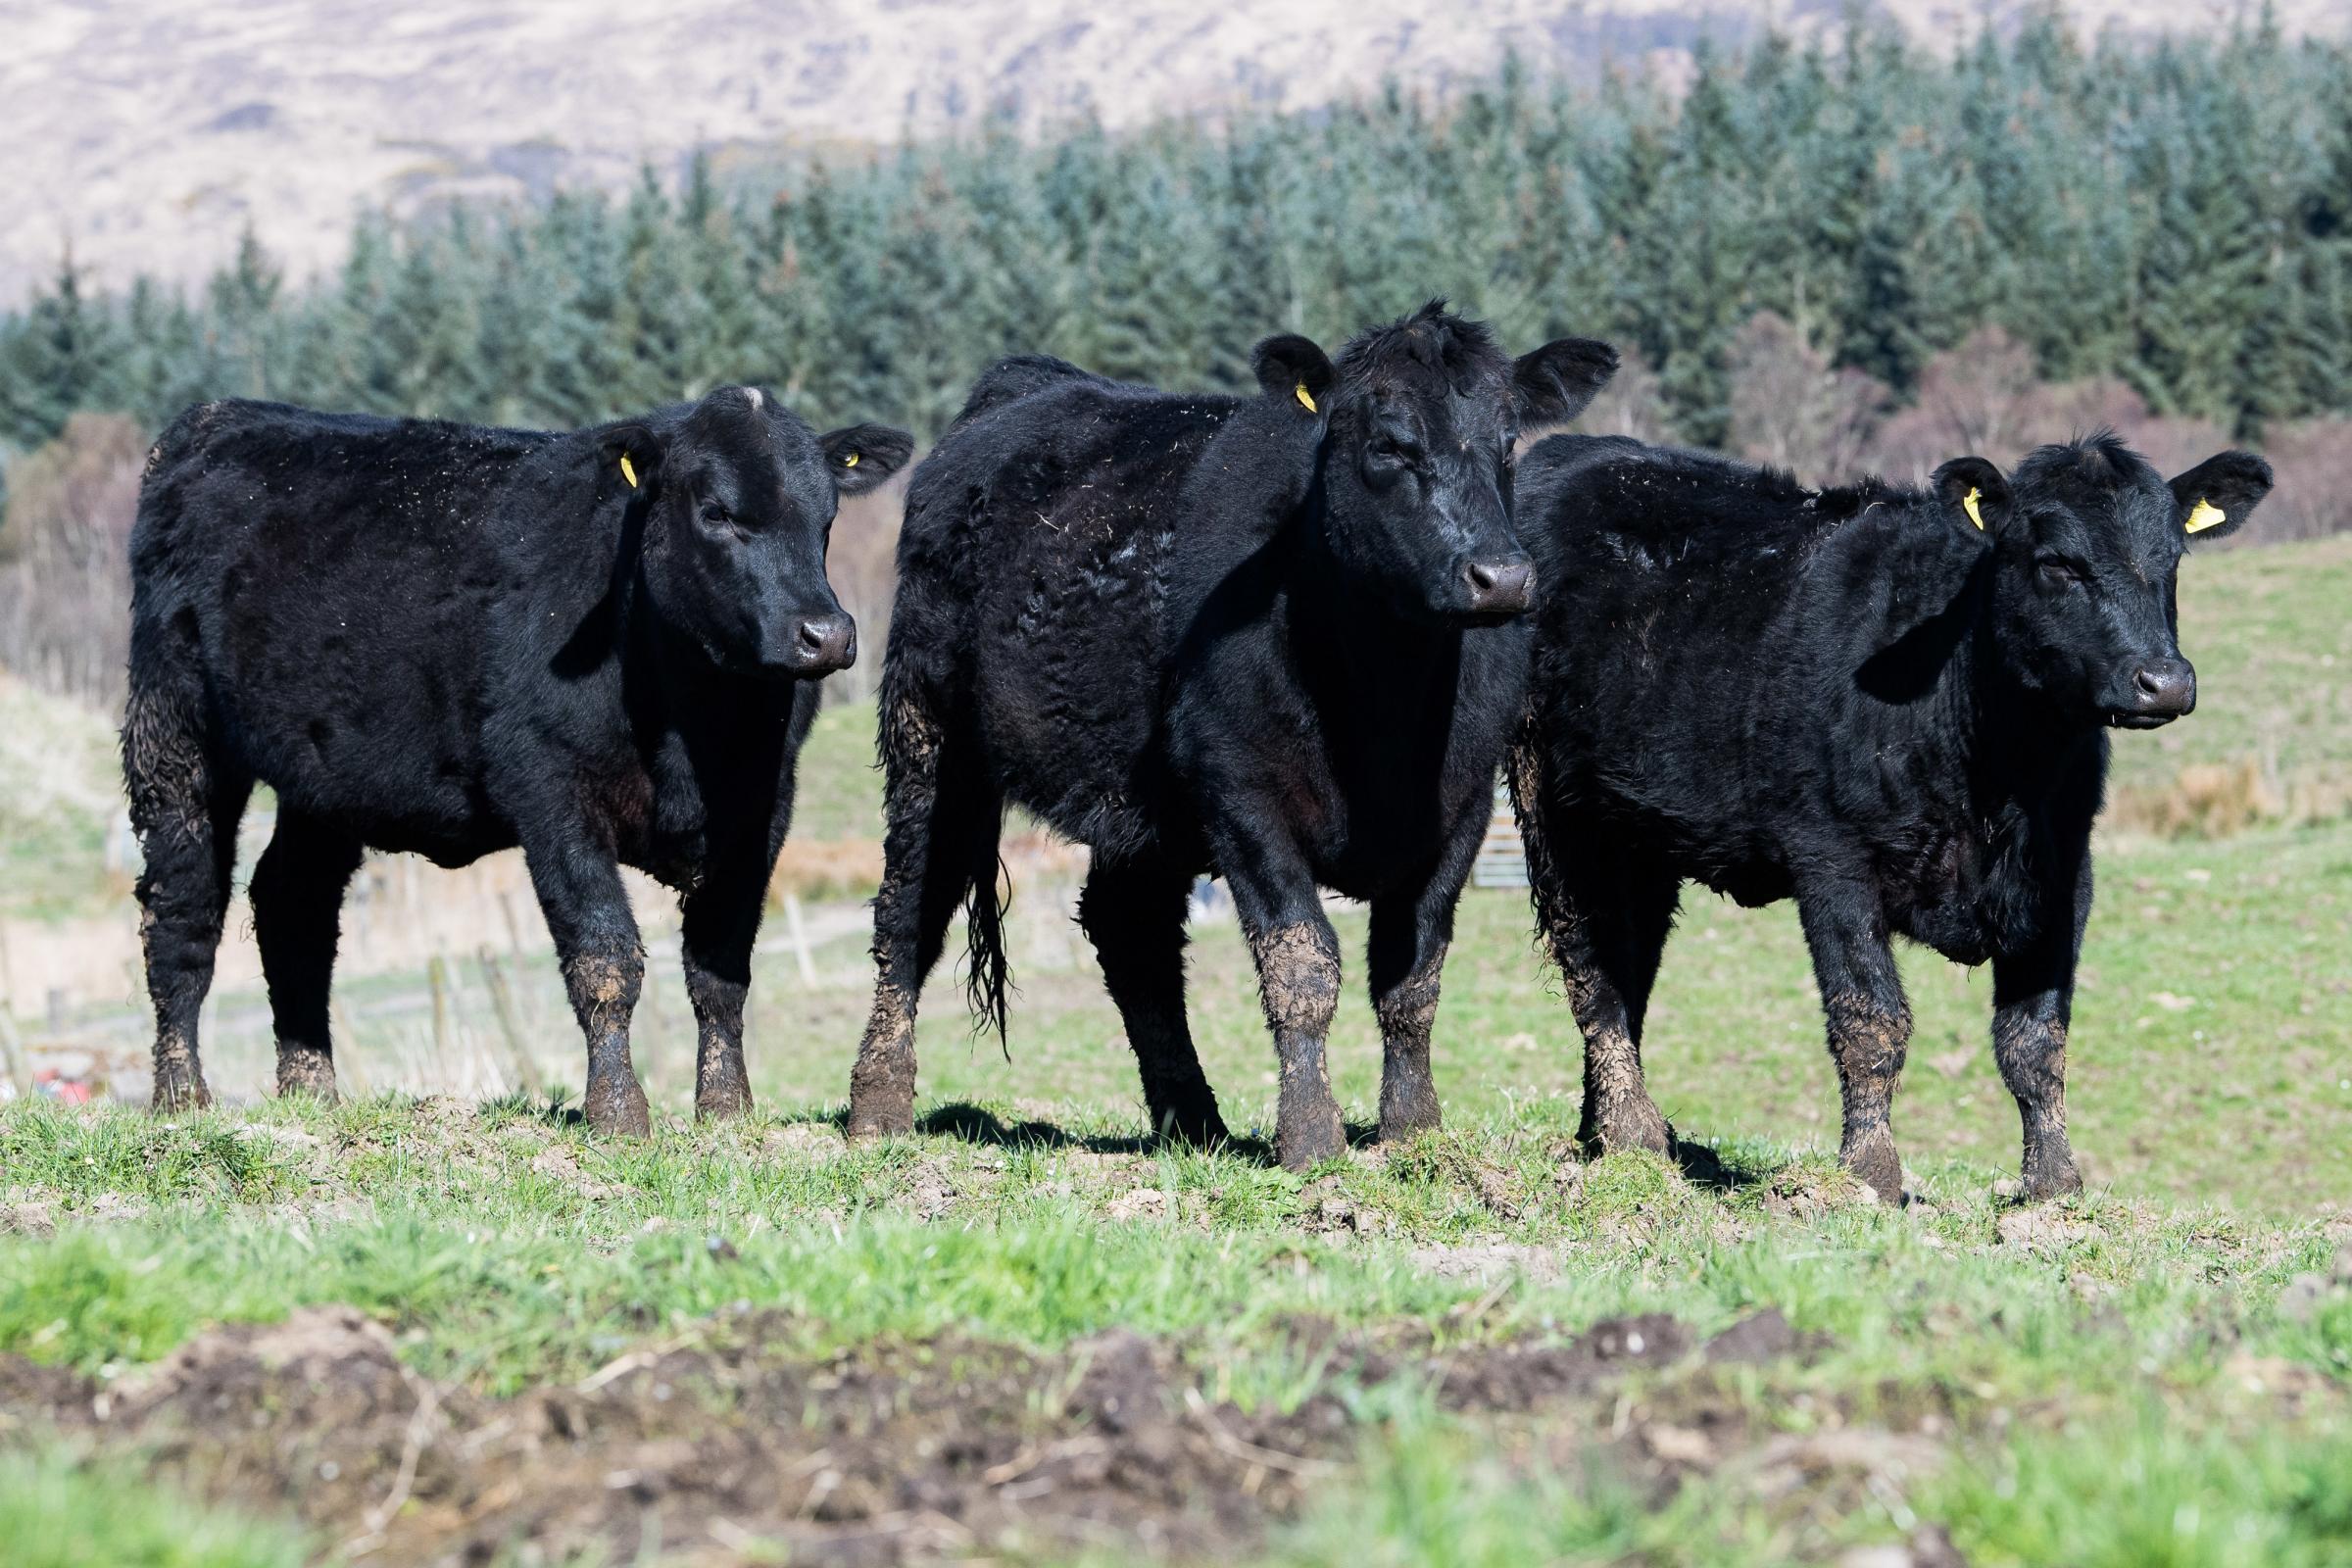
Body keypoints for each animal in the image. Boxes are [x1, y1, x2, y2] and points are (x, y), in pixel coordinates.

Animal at [119, 390, 912, 1128]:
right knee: (182, 914)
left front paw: (726, 1108)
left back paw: (312, 1093)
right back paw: (181, 1097)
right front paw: (618, 1113)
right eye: (716, 513)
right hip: (174, 731)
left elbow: (721, 963)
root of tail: (215, 419)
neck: (699, 730)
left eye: (826, 517)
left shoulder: (764, 805)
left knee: (294, 906)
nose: (825, 634)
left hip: (323, 779)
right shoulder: (550, 789)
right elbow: (605, 957)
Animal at [847, 303, 1618, 1165]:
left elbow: (1413, 978)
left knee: (1130, 932)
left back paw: (1192, 1122)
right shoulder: (1242, 794)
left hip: (1138, 811)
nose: (1501, 577)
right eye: (1389, 444)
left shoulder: (1463, 809)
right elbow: (1304, 969)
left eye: (1508, 440)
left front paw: (1414, 1133)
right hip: (928, 733)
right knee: (910, 910)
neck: (1383, 707)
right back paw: (878, 1109)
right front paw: (1312, 1141)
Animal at [1514, 429, 2267, 1203]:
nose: (2165, 682)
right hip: (1553, 801)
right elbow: (1872, 1022)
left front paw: (2054, 1182)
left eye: (2171, 561)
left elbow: (2036, 1038)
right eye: (2057, 563)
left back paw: (1604, 1135)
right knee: (1590, 965)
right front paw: (1871, 1172)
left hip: (1636, 832)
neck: (2000, 771)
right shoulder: (1831, 859)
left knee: (1629, 961)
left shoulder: (2063, 872)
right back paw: (1632, 1132)